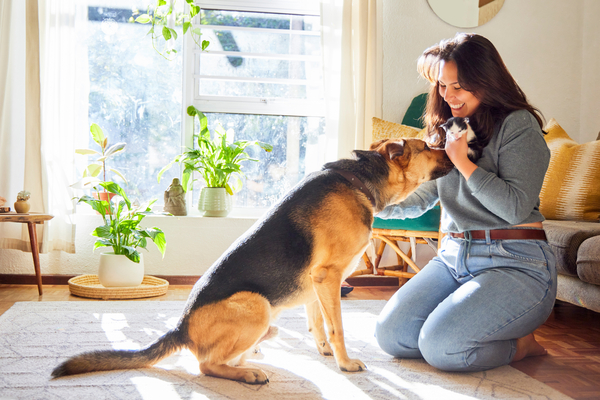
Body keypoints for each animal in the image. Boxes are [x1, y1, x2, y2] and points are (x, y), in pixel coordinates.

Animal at [52, 138, 454, 384]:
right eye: (426, 146)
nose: (456, 147)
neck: (358, 178)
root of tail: (180, 328)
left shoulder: (316, 282)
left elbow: (319, 323)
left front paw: (324, 352)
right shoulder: (328, 276)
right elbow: (337, 327)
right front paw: (344, 363)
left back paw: (256, 356)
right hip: (256, 305)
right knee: (206, 364)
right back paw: (248, 374)